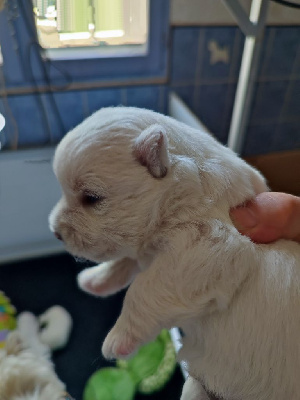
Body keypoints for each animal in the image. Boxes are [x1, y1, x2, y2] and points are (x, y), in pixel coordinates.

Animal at [49, 107, 300, 400]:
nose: (55, 231)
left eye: (91, 198)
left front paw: (118, 339)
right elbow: (127, 259)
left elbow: (143, 288)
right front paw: (95, 280)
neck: (185, 185)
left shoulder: (208, 244)